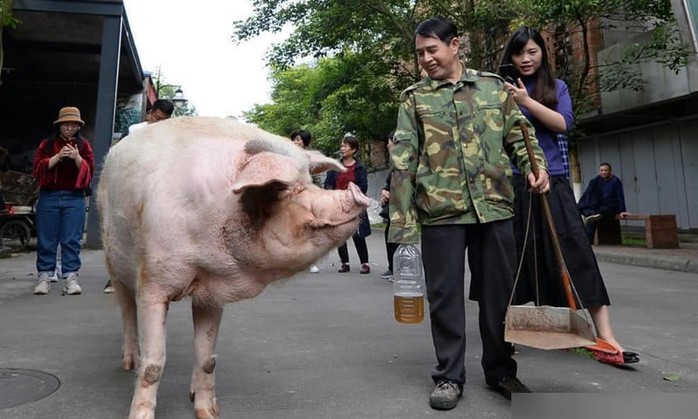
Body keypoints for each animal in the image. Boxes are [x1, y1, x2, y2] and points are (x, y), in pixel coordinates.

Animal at [99, 116, 370, 418]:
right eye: (286, 190)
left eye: (311, 183)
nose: (357, 192)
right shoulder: (153, 283)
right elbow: (154, 363)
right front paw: (140, 414)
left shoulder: (211, 291)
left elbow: (207, 358)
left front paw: (208, 413)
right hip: (112, 260)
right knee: (126, 310)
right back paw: (128, 364)